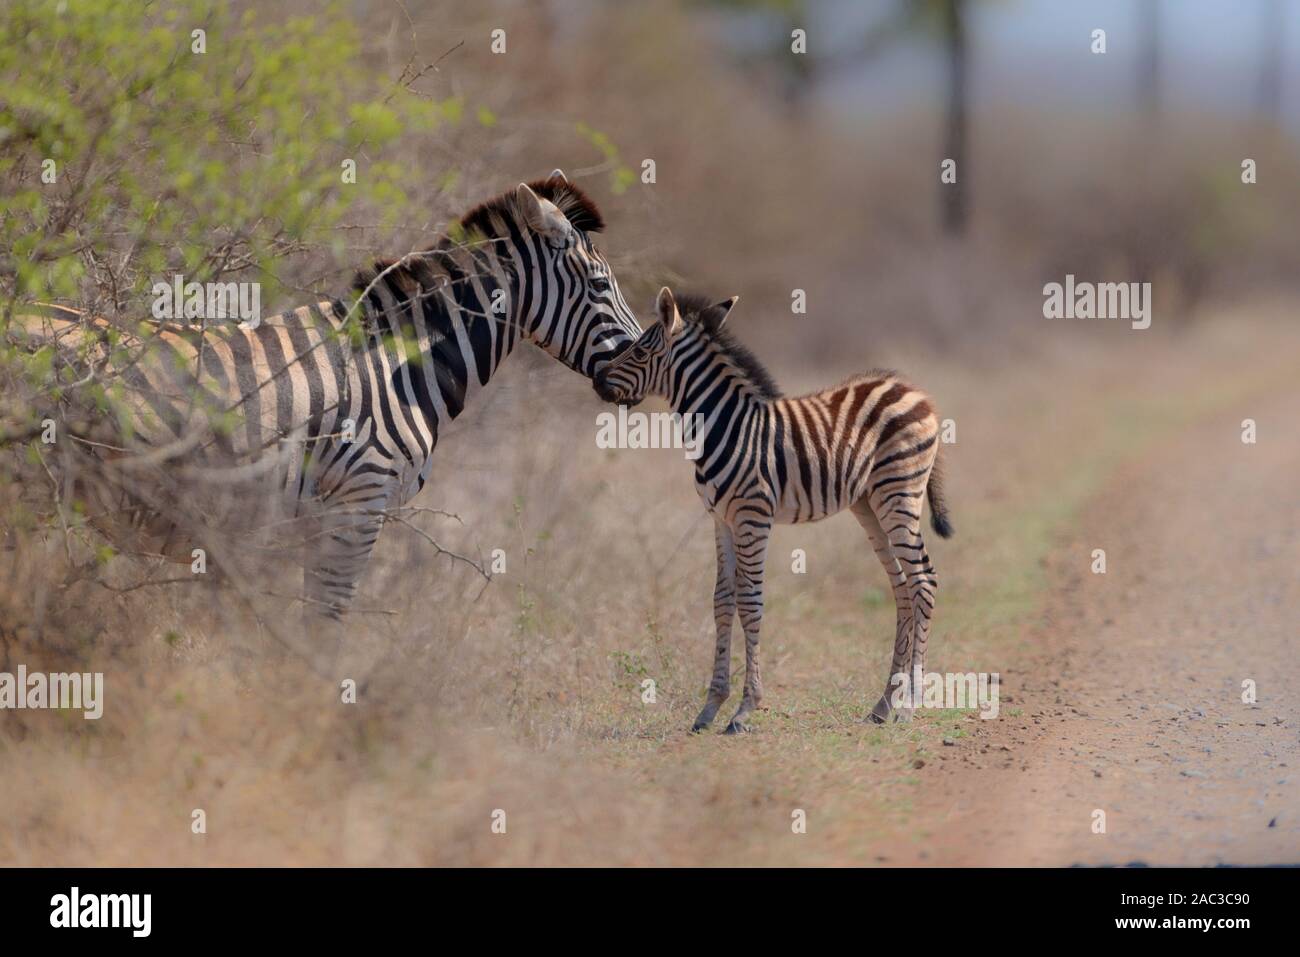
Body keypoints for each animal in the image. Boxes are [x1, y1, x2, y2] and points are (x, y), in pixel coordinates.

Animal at [598, 289, 956, 733]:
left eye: (640, 351)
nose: (597, 379)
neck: (723, 426)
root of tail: (915, 390)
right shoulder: (721, 519)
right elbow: (722, 600)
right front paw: (710, 707)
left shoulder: (753, 516)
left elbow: (750, 602)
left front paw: (744, 710)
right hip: (869, 504)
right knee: (903, 587)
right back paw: (883, 704)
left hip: (900, 492)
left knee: (923, 580)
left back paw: (911, 704)